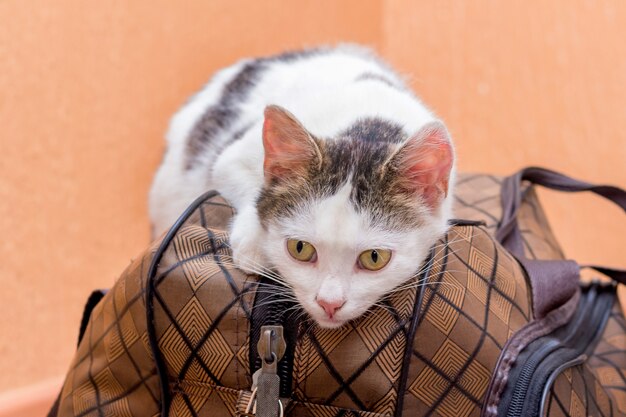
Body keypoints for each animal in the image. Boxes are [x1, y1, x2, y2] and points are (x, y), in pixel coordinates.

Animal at [151, 45, 454, 328]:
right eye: (300, 248)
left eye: (374, 258)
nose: (329, 303)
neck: (367, 127)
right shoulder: (230, 158)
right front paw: (254, 242)